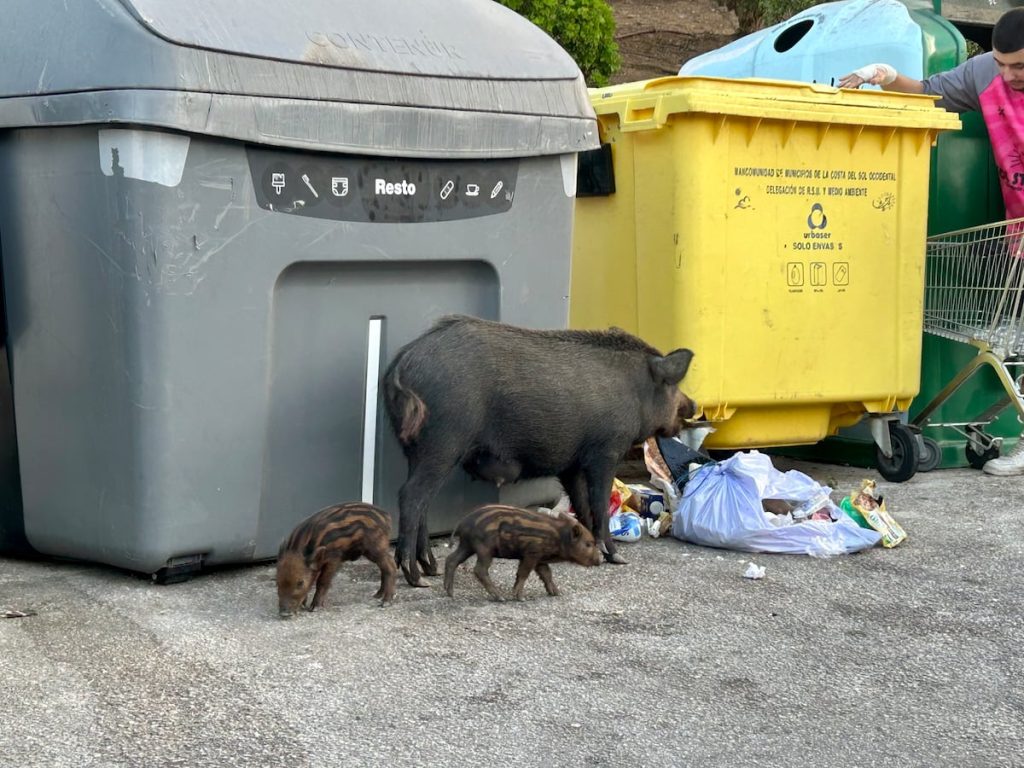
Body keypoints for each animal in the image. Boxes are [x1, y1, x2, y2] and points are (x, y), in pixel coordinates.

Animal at [383, 314, 695, 587]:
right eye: (671, 385)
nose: (692, 405)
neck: (636, 391)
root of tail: (404, 362)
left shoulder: (572, 464)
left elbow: (582, 504)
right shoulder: (606, 452)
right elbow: (598, 505)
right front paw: (616, 557)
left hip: (416, 448)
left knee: (422, 504)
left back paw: (431, 569)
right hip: (444, 442)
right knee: (411, 496)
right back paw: (416, 578)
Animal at [443, 504, 602, 601]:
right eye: (588, 544)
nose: (600, 560)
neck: (558, 537)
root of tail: (463, 521)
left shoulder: (540, 559)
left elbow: (547, 574)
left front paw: (556, 593)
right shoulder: (531, 553)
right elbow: (523, 573)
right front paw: (520, 597)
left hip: (466, 545)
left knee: (451, 559)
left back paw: (450, 593)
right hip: (484, 548)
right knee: (479, 569)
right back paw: (500, 597)